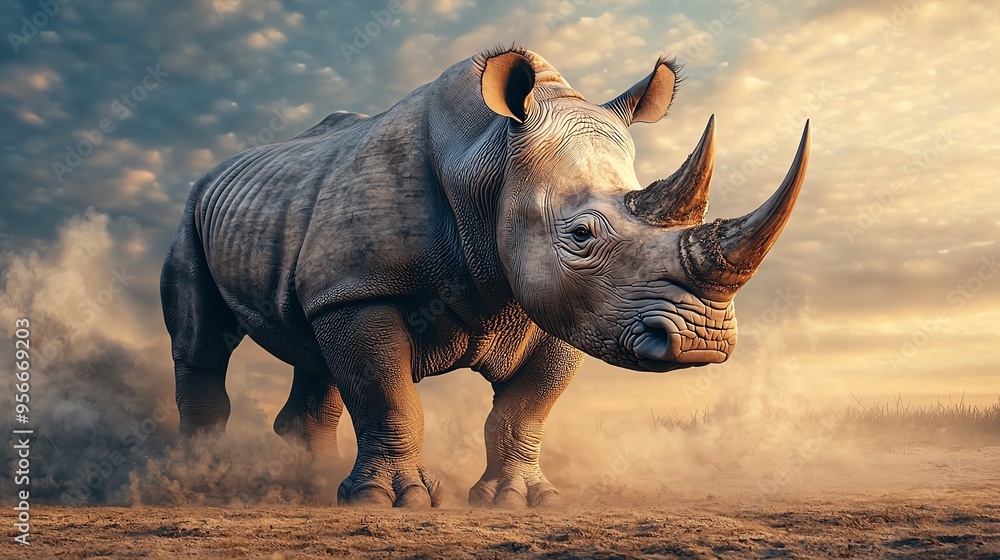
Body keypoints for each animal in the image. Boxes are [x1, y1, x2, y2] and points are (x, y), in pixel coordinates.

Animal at [160, 45, 809, 508]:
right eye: (581, 235)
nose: (703, 342)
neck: (490, 162)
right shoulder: (360, 288)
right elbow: (388, 393)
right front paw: (391, 500)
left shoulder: (563, 304)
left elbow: (524, 410)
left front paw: (520, 499)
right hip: (192, 213)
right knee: (202, 343)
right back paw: (200, 480)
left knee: (311, 349)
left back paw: (311, 488)